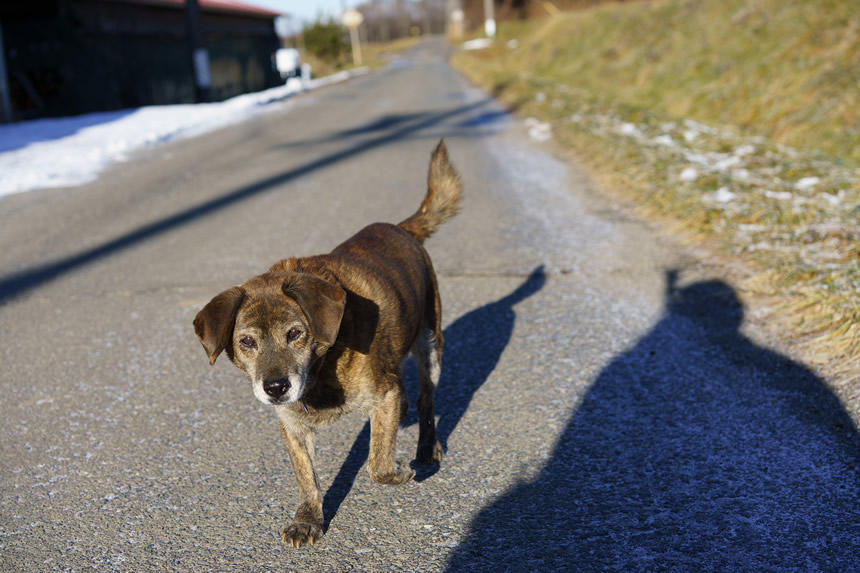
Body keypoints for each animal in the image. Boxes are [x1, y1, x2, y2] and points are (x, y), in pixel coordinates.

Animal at [193, 141, 464, 548]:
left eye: (295, 333)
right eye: (247, 342)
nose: (275, 387)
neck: (322, 370)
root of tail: (401, 228)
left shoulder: (385, 394)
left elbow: (377, 465)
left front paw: (399, 470)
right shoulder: (291, 424)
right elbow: (306, 477)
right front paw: (308, 520)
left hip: (431, 343)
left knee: (426, 399)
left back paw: (426, 448)